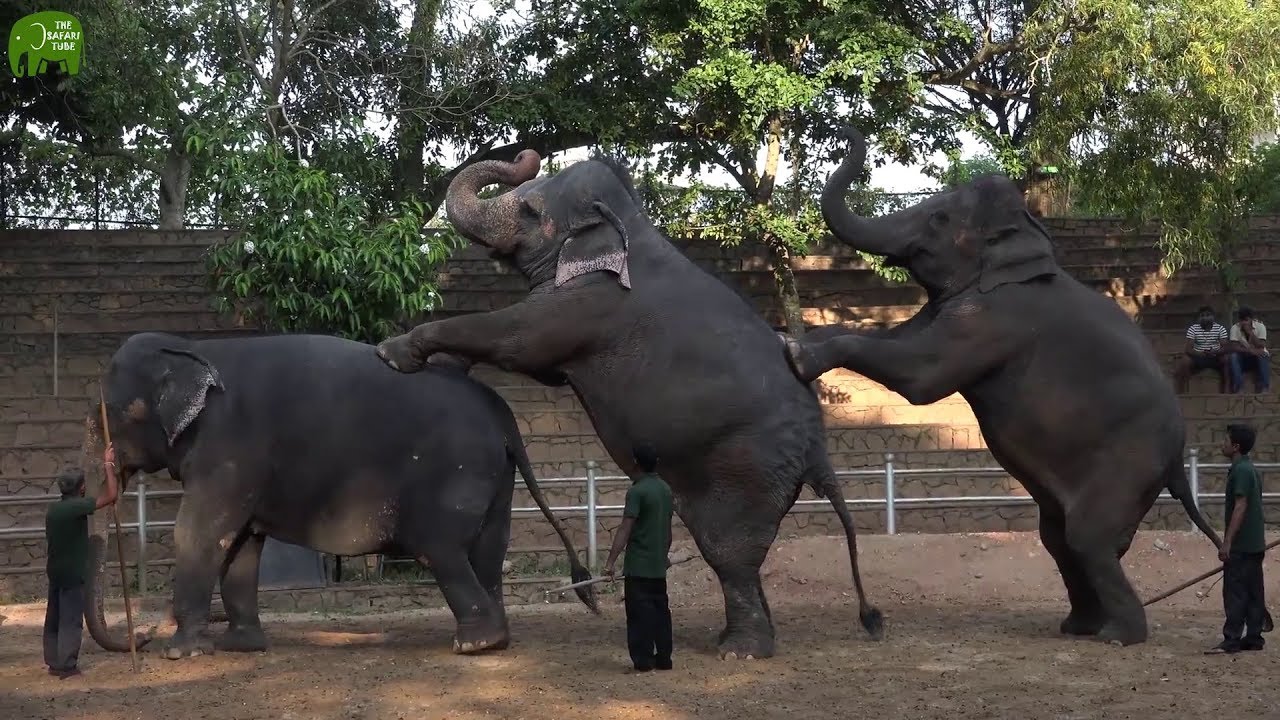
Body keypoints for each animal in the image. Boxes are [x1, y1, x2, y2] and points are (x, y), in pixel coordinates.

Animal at [80, 331, 595, 660]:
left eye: (102, 419)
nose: (142, 638)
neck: (193, 349)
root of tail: (503, 414)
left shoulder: (229, 448)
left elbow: (200, 532)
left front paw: (180, 654)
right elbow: (243, 542)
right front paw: (240, 648)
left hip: (456, 474)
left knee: (442, 549)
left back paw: (474, 644)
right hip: (497, 477)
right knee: (488, 548)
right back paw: (497, 640)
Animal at [374, 149, 884, 660]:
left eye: (531, 210)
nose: (526, 154)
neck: (628, 224)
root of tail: (819, 449)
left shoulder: (592, 302)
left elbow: (517, 341)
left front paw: (391, 353)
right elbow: (533, 360)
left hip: (751, 464)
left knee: (729, 551)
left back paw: (739, 651)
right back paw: (733, 639)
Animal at [777, 126, 1223, 646]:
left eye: (939, 218)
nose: (851, 128)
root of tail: (1178, 460)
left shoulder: (996, 318)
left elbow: (922, 374)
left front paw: (797, 355)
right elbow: (898, 340)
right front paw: (791, 340)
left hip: (1131, 460)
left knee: (1088, 536)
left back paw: (1117, 636)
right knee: (1060, 537)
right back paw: (1078, 627)